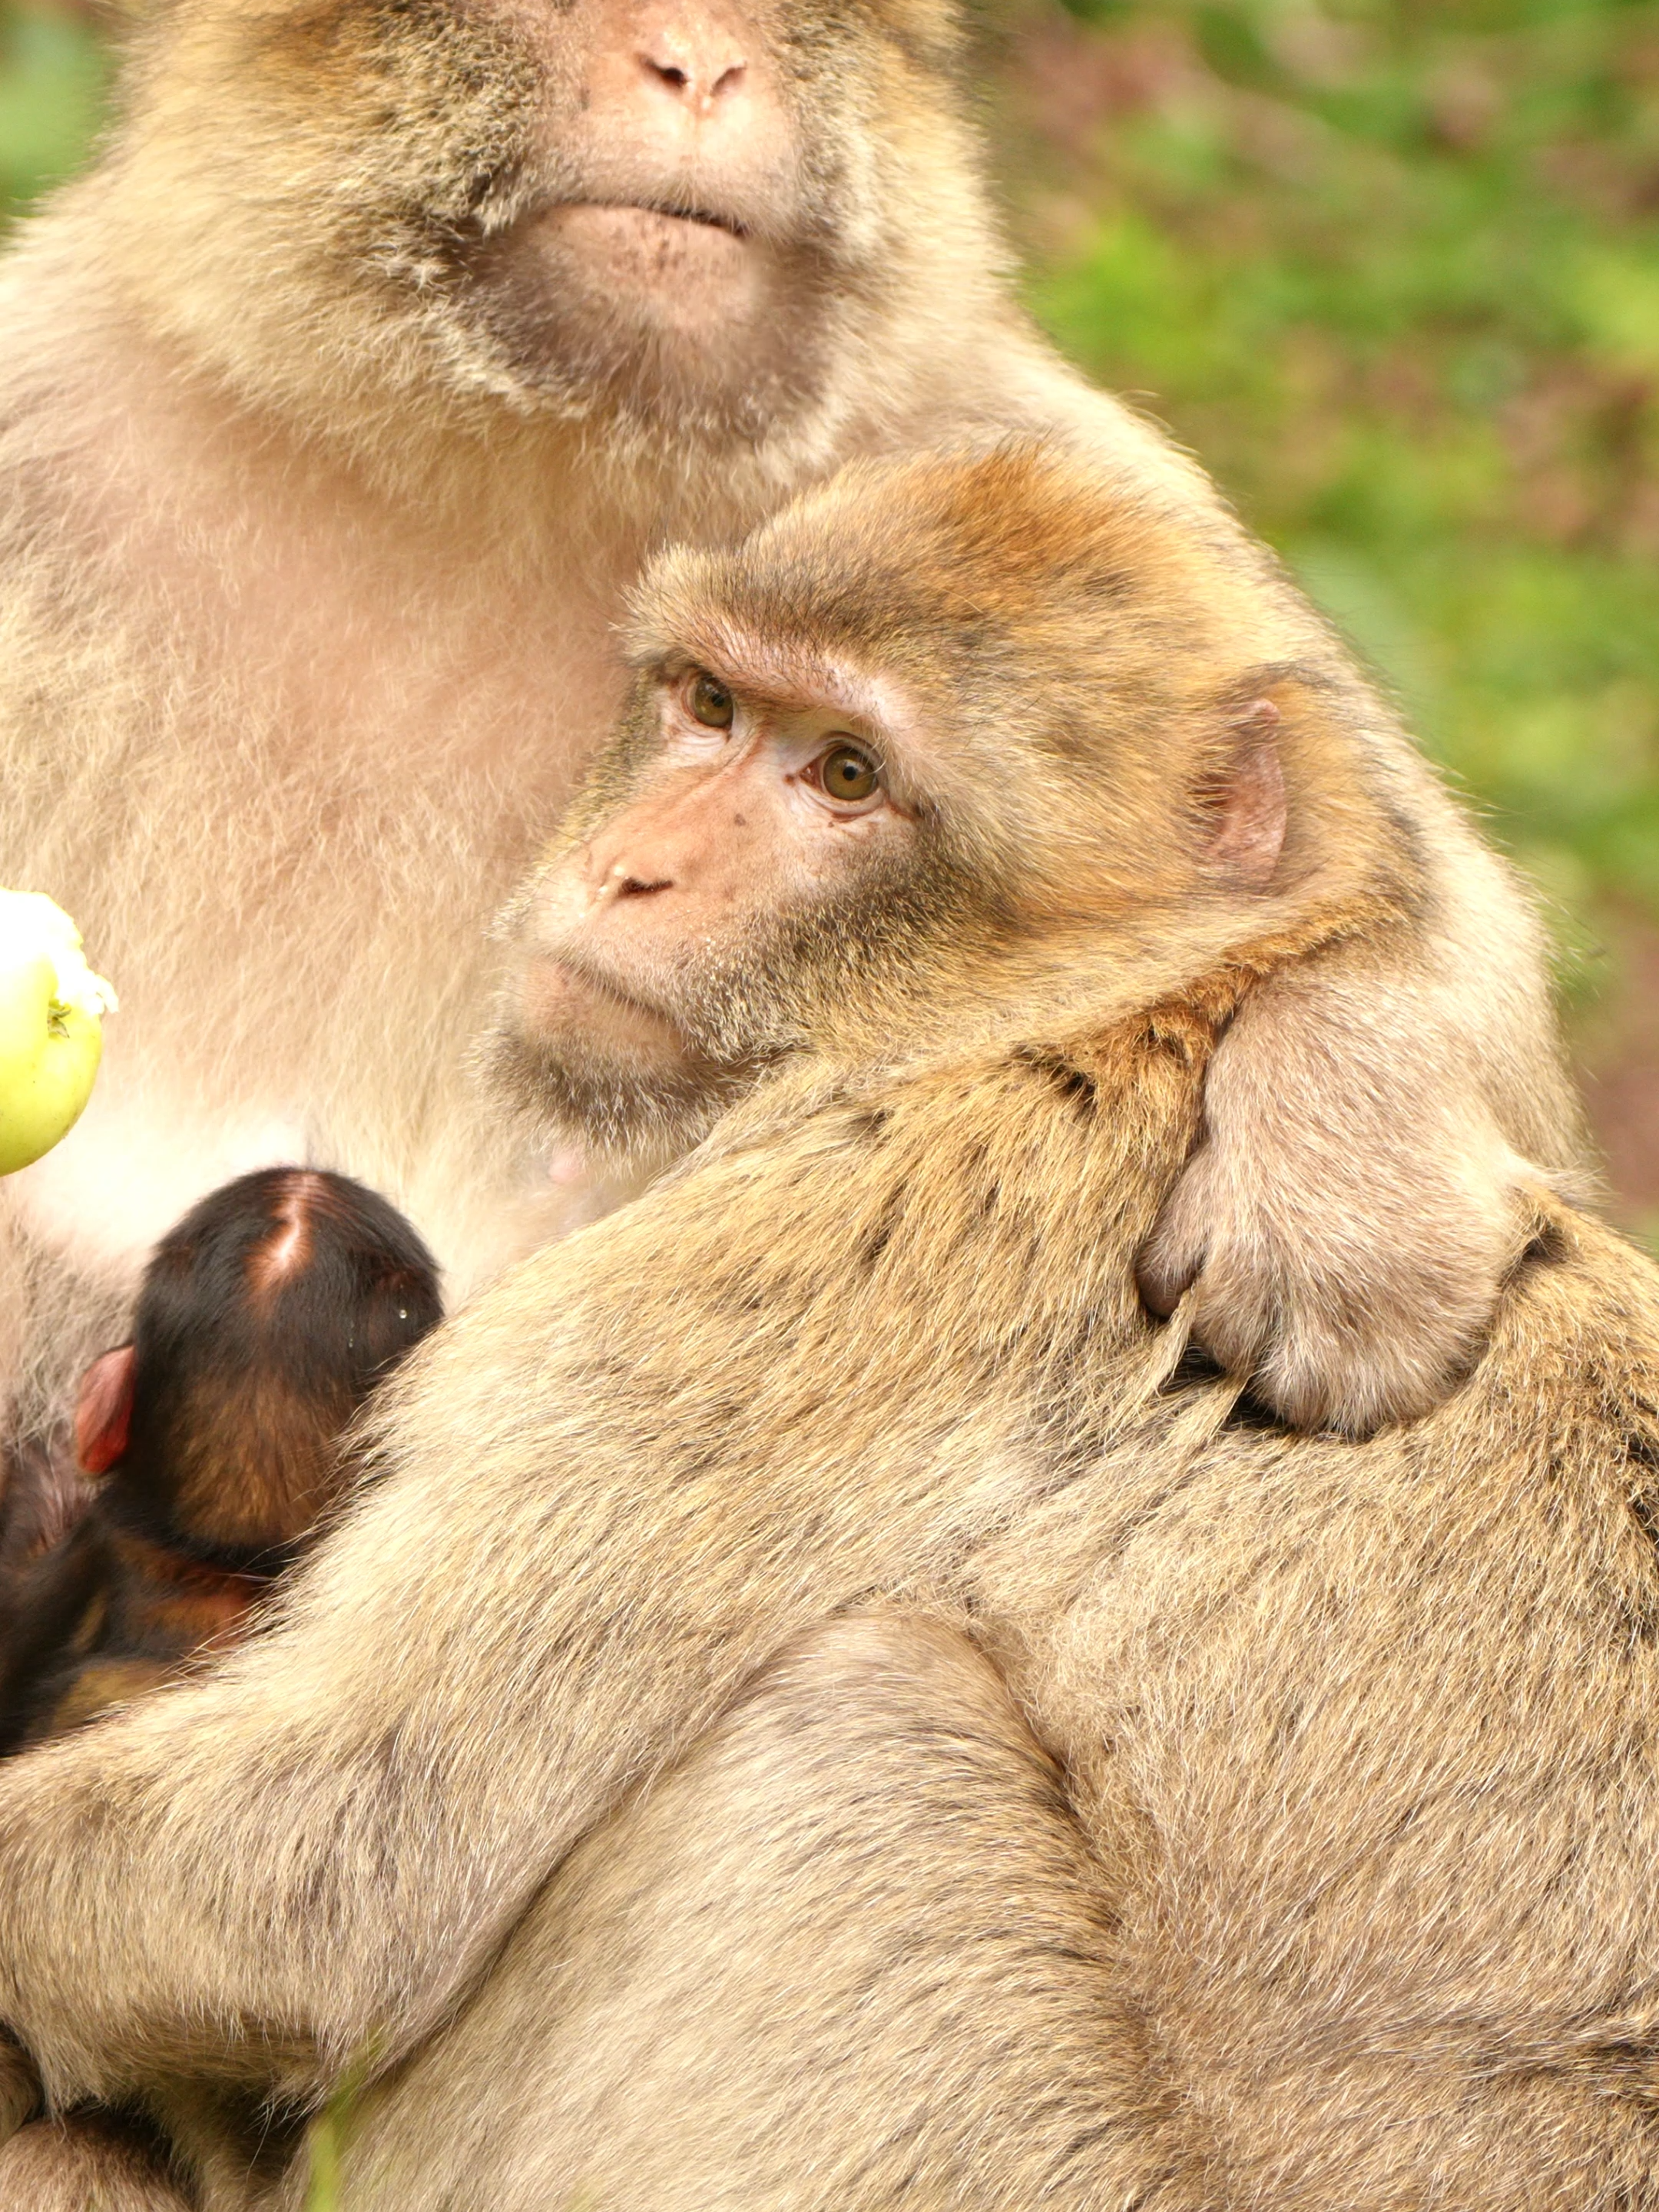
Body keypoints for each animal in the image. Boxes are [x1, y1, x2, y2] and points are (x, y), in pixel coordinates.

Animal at [0, 0, 1588, 1567]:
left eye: (845, 775)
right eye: (706, 705)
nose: (701, 62)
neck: (515, 465)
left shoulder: (1017, 444)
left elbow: (1413, 905)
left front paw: (1353, 1190)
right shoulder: (37, 418)